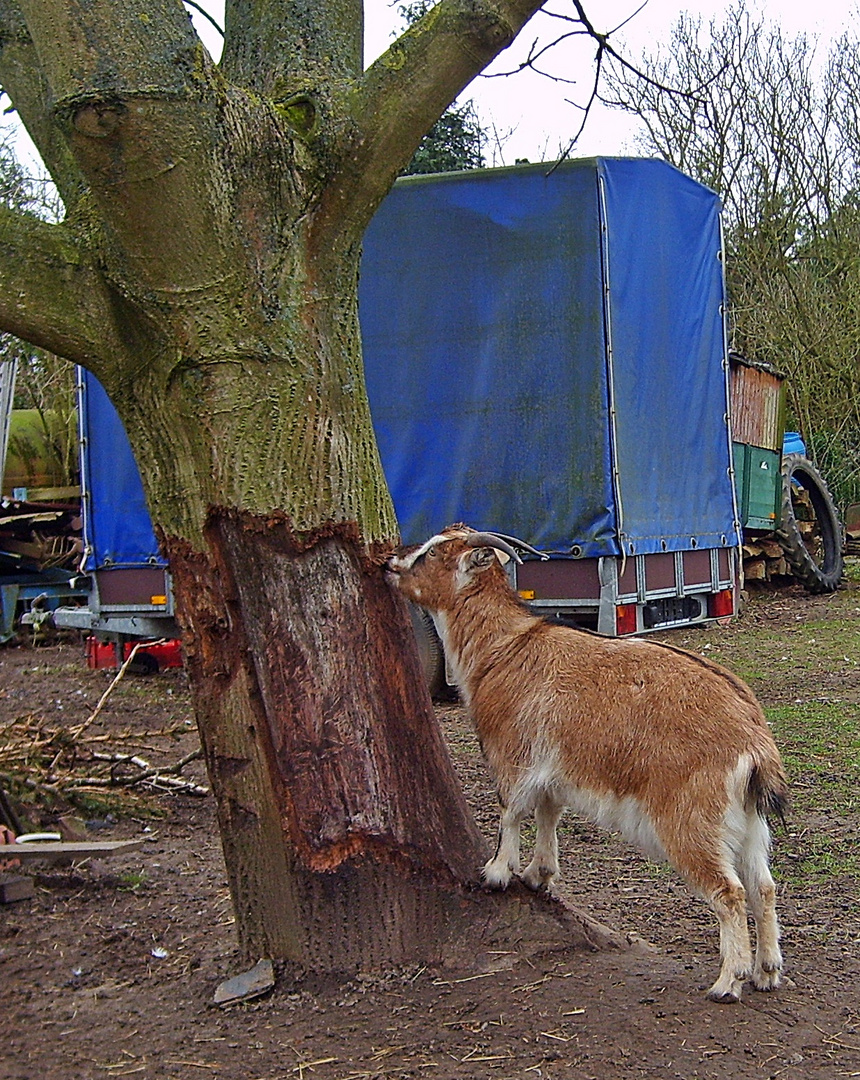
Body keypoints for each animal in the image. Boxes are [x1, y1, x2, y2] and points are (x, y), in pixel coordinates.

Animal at [386, 522, 790, 1002]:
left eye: (432, 554)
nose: (391, 562)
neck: (503, 647)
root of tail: (753, 739)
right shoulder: (553, 768)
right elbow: (548, 811)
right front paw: (539, 874)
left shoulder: (509, 751)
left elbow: (510, 809)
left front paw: (497, 872)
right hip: (748, 819)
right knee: (762, 887)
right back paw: (767, 971)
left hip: (690, 820)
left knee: (729, 892)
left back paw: (729, 981)